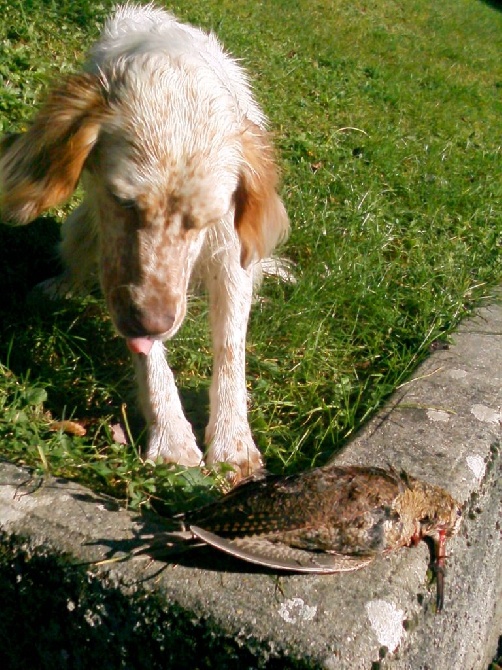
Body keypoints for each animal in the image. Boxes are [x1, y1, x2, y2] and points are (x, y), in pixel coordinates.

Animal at [0, 2, 288, 480]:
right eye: (123, 201)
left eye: (203, 219)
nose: (152, 323)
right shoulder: (122, 273)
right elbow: (151, 359)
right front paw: (173, 439)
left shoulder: (230, 254)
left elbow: (231, 350)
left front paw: (233, 442)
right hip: (79, 225)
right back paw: (60, 287)